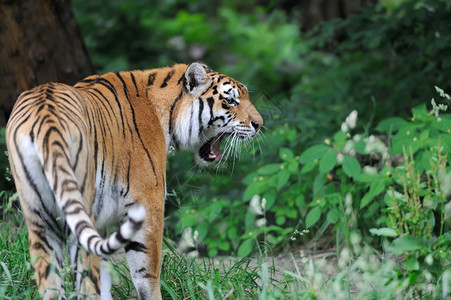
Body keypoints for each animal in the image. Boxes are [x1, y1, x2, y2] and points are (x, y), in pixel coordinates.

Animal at [4, 62, 264, 298]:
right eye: (231, 101)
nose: (259, 124)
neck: (167, 112)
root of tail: (46, 116)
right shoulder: (148, 202)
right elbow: (147, 274)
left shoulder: (100, 224)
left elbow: (106, 278)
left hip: (39, 221)